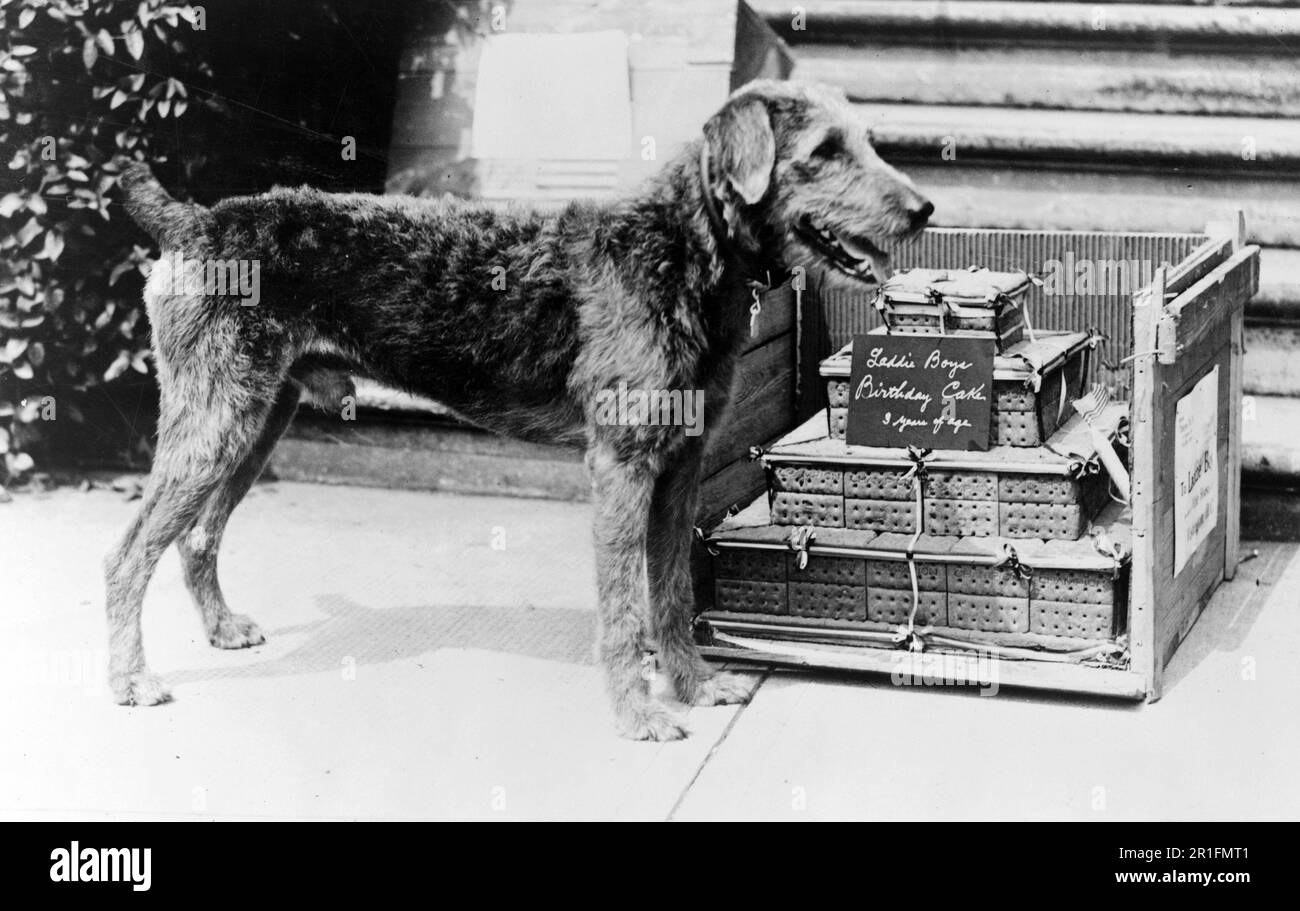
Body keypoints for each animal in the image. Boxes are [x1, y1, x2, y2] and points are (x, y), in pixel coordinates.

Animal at [106, 79, 930, 738]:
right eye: (824, 149)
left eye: (865, 139)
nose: (923, 209)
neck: (682, 249)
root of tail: (192, 223)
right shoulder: (622, 465)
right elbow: (626, 609)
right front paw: (638, 717)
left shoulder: (680, 464)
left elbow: (670, 593)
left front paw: (694, 686)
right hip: (214, 422)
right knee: (128, 553)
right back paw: (129, 681)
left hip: (255, 420)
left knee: (196, 538)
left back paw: (220, 630)